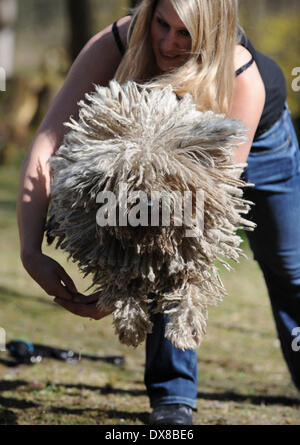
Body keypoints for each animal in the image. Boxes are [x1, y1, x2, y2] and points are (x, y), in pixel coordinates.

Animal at [45, 80, 255, 350]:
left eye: (167, 176)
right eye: (128, 177)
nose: (149, 205)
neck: (152, 240)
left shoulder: (192, 252)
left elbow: (192, 286)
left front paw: (184, 329)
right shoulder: (113, 255)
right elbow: (122, 283)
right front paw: (131, 326)